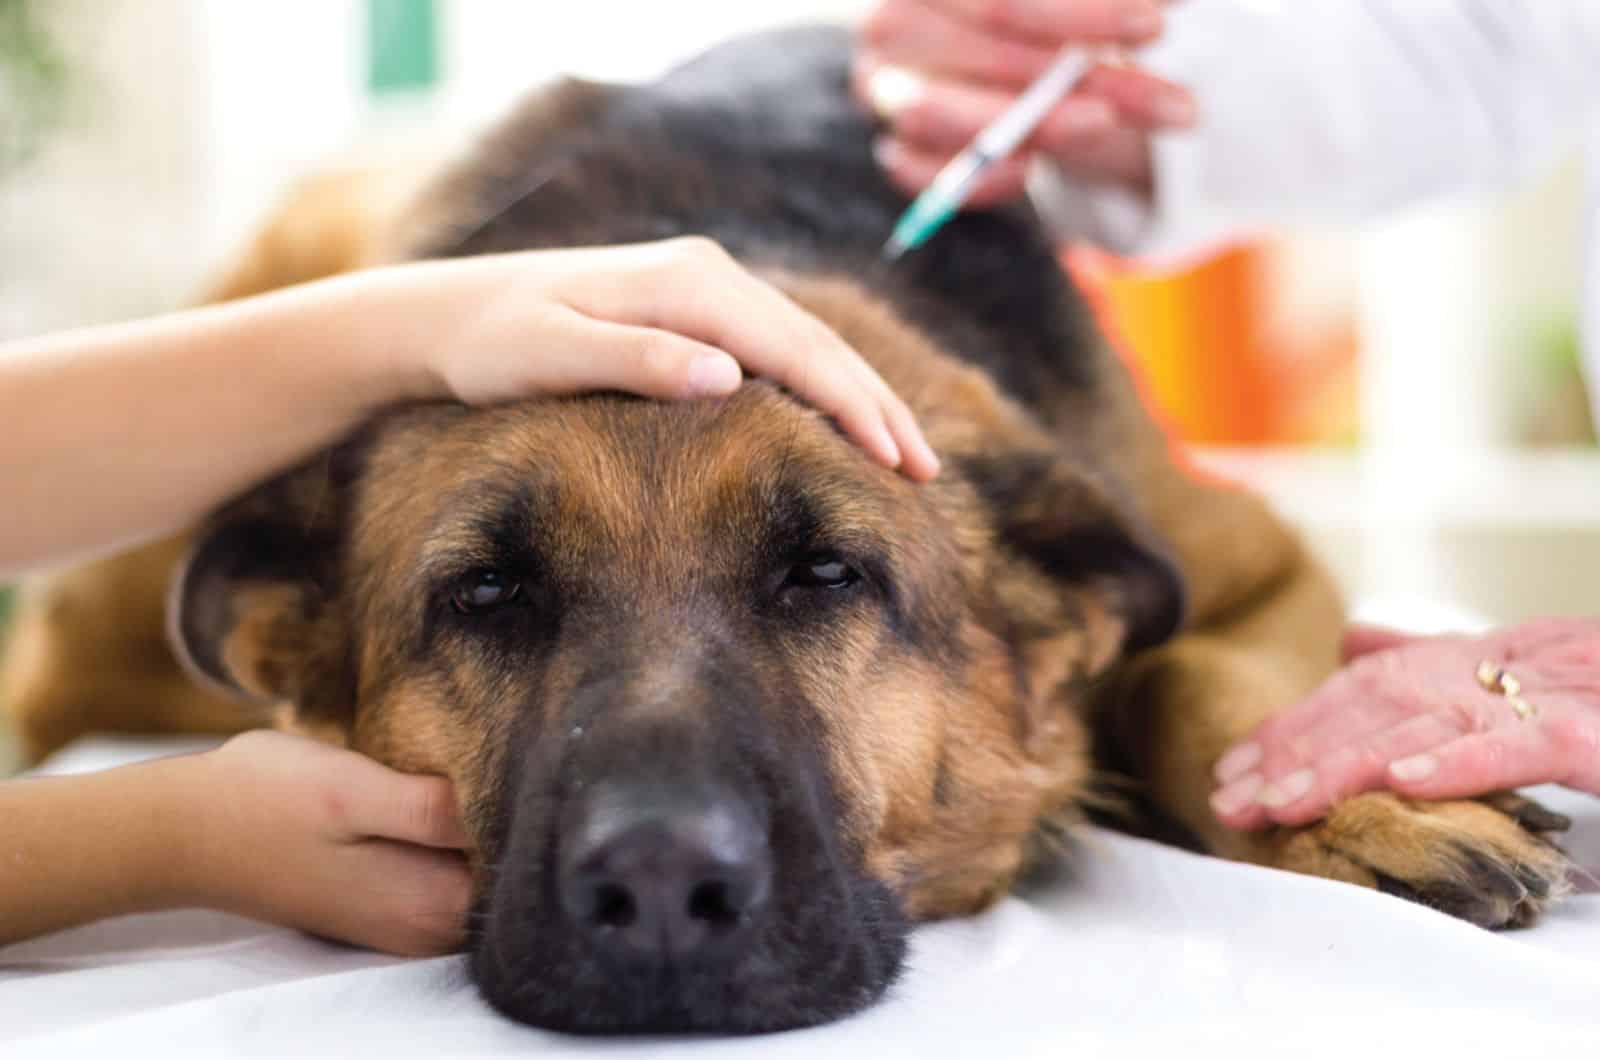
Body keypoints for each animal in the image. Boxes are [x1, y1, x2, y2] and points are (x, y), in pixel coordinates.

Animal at [0, 27, 1568, 1037]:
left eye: (827, 574)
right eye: (487, 594)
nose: (658, 887)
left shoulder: (1249, 563)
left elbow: (1197, 673)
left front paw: (1356, 805)